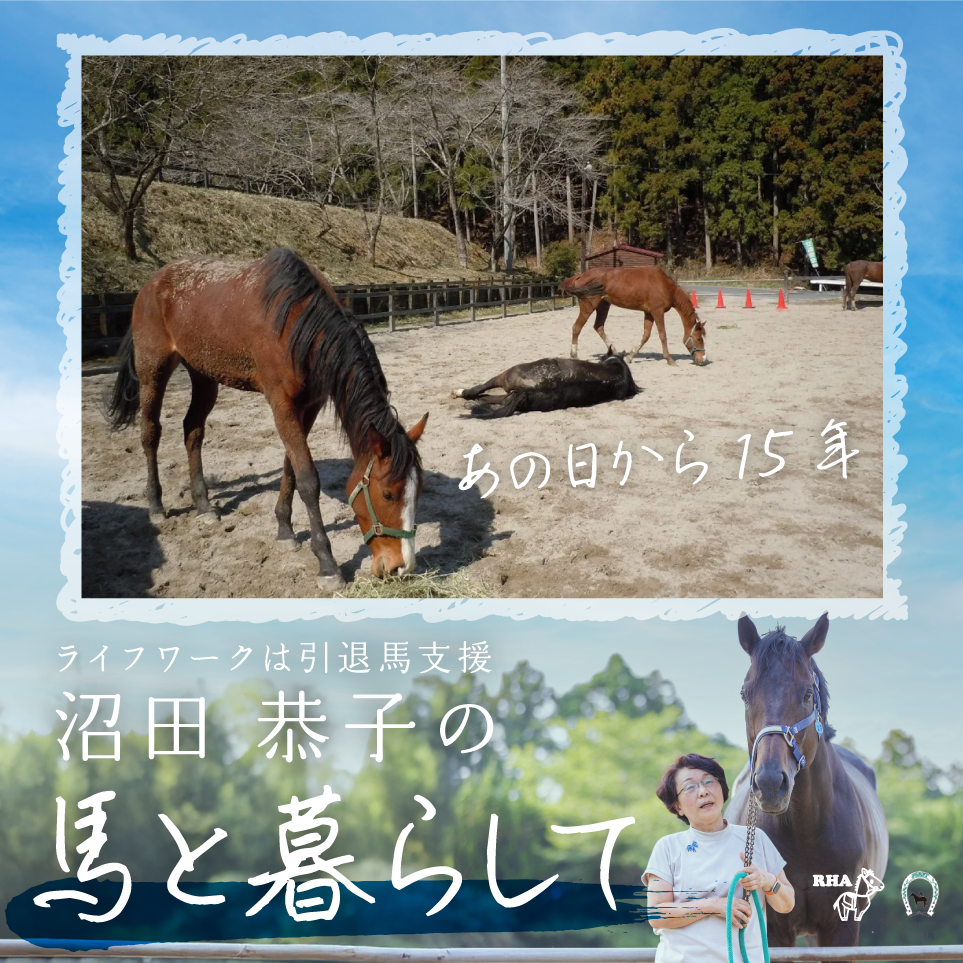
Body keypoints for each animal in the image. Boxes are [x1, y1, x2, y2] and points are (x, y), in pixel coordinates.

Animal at [107, 248, 429, 590]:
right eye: (388, 494)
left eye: (418, 491)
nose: (401, 567)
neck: (299, 324)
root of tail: (151, 283)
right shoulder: (281, 404)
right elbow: (308, 479)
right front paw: (327, 563)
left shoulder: (309, 405)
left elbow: (291, 468)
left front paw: (285, 530)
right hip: (152, 370)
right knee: (151, 433)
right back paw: (155, 505)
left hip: (203, 373)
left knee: (192, 430)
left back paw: (204, 505)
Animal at [559, 266, 707, 366]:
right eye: (698, 338)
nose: (703, 359)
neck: (664, 286)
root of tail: (580, 276)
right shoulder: (657, 312)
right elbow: (662, 335)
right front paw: (670, 359)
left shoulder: (649, 313)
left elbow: (646, 336)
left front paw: (630, 357)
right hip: (588, 306)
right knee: (577, 327)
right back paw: (574, 355)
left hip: (603, 305)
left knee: (598, 327)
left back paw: (615, 351)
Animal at [725, 613, 889, 947]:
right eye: (745, 694)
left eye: (807, 694)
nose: (770, 784)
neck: (808, 831)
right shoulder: (775, 928)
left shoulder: (842, 927)